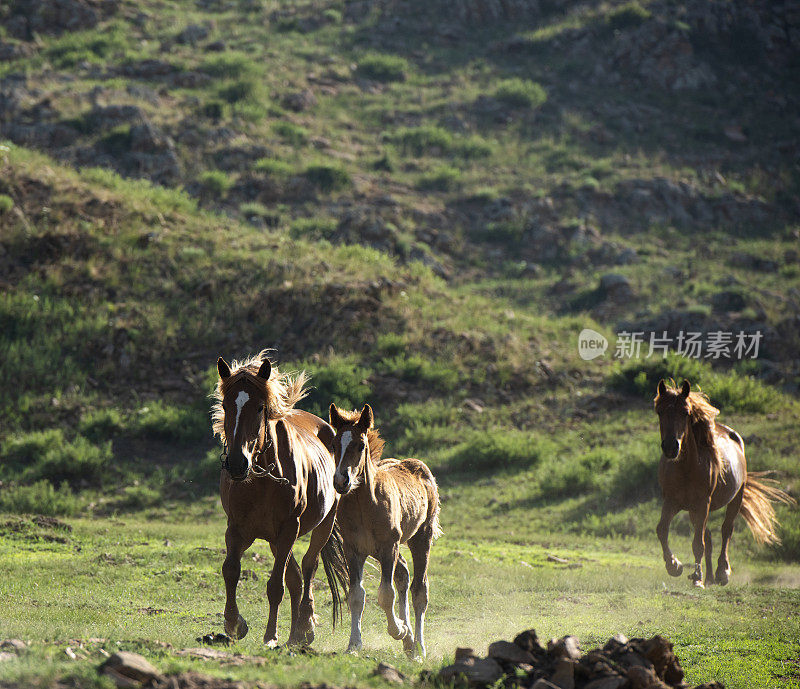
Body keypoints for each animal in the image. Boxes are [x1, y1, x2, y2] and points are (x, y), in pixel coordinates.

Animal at [212, 352, 346, 648]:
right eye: (226, 405)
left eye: (260, 407)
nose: (237, 463)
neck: (261, 479)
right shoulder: (236, 529)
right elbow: (231, 570)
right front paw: (234, 624)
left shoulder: (288, 529)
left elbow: (275, 585)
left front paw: (271, 635)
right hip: (275, 539)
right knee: (295, 576)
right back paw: (295, 635)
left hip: (322, 525)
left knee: (308, 568)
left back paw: (305, 627)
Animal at [328, 404, 446, 656]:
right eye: (333, 445)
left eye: (360, 445)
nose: (341, 481)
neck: (365, 504)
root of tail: (419, 467)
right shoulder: (353, 549)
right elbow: (356, 595)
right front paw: (354, 645)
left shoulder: (388, 546)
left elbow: (386, 594)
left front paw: (399, 630)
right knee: (403, 574)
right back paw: (410, 643)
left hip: (421, 538)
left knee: (419, 590)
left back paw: (419, 647)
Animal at [656, 378, 792, 588]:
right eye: (659, 411)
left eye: (685, 412)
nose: (671, 447)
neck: (687, 468)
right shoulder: (672, 501)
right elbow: (662, 530)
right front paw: (674, 566)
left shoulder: (702, 503)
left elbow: (698, 544)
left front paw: (697, 579)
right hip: (695, 509)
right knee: (708, 536)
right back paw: (709, 577)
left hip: (735, 498)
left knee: (726, 530)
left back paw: (721, 573)